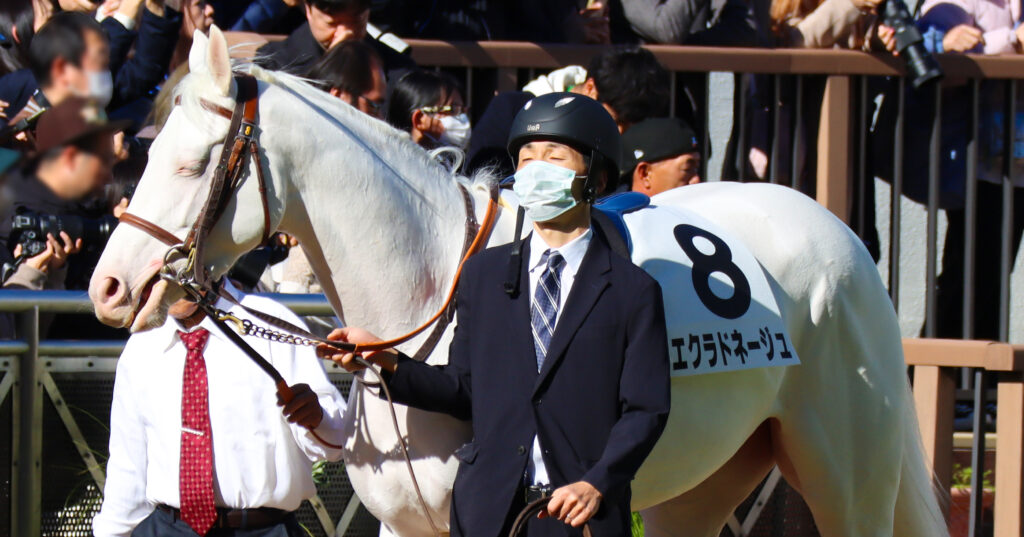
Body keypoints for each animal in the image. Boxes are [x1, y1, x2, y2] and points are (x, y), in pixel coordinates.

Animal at [89, 27, 948, 537]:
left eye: (197, 162)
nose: (110, 288)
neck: (426, 284)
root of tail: (841, 237)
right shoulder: (409, 525)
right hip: (701, 484)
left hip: (850, 481)